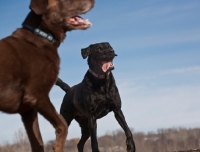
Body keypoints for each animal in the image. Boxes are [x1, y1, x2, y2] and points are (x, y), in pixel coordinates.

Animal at [0, 0, 94, 152]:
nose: (94, 1)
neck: (42, 36)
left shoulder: (28, 110)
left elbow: (38, 142)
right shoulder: (37, 95)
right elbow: (63, 125)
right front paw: (57, 147)